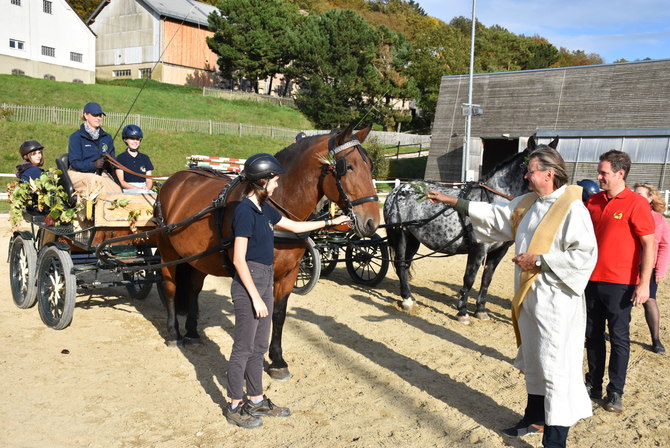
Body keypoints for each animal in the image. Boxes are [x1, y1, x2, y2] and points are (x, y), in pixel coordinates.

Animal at [154, 125, 380, 378]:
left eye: (370, 166)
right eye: (347, 167)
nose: (372, 222)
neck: (272, 207)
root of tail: (174, 180)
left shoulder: (289, 274)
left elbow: (278, 314)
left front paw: (277, 360)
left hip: (199, 259)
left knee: (193, 289)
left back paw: (192, 333)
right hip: (168, 253)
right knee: (171, 288)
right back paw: (174, 334)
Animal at [386, 136, 560, 322]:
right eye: (544, 165)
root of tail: (398, 189)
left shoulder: (499, 251)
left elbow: (486, 279)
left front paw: (481, 310)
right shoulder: (478, 248)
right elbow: (469, 278)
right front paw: (462, 312)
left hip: (413, 239)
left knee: (405, 266)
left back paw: (410, 297)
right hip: (400, 235)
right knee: (400, 264)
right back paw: (406, 300)